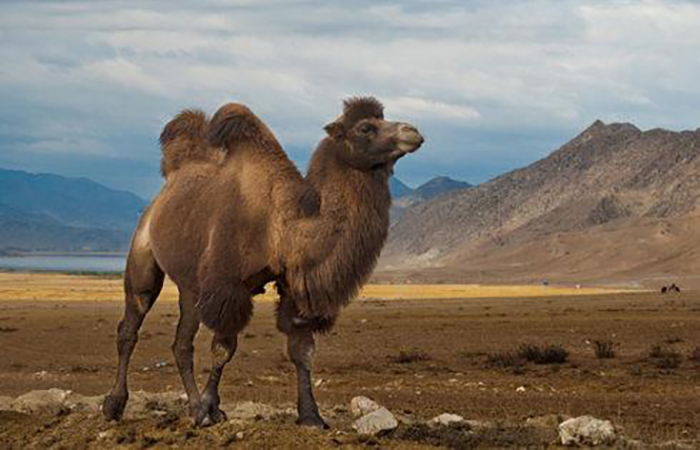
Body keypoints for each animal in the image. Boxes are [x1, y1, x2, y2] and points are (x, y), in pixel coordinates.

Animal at [101, 96, 424, 428]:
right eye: (365, 127)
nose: (412, 132)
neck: (281, 225)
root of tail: (166, 186)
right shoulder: (228, 285)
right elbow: (223, 349)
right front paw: (209, 407)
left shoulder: (293, 286)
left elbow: (302, 350)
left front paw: (310, 415)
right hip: (143, 255)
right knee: (132, 325)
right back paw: (117, 405)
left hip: (191, 286)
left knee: (181, 343)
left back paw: (190, 405)